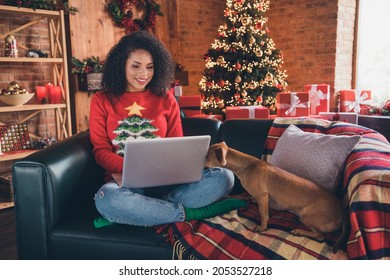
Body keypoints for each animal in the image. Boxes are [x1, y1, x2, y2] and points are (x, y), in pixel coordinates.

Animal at [206, 142, 346, 252]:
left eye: (206, 157)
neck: (247, 166)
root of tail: (341, 214)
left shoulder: (263, 196)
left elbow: (263, 214)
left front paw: (262, 227)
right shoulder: (258, 197)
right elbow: (245, 198)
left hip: (308, 218)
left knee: (321, 236)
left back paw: (300, 231)